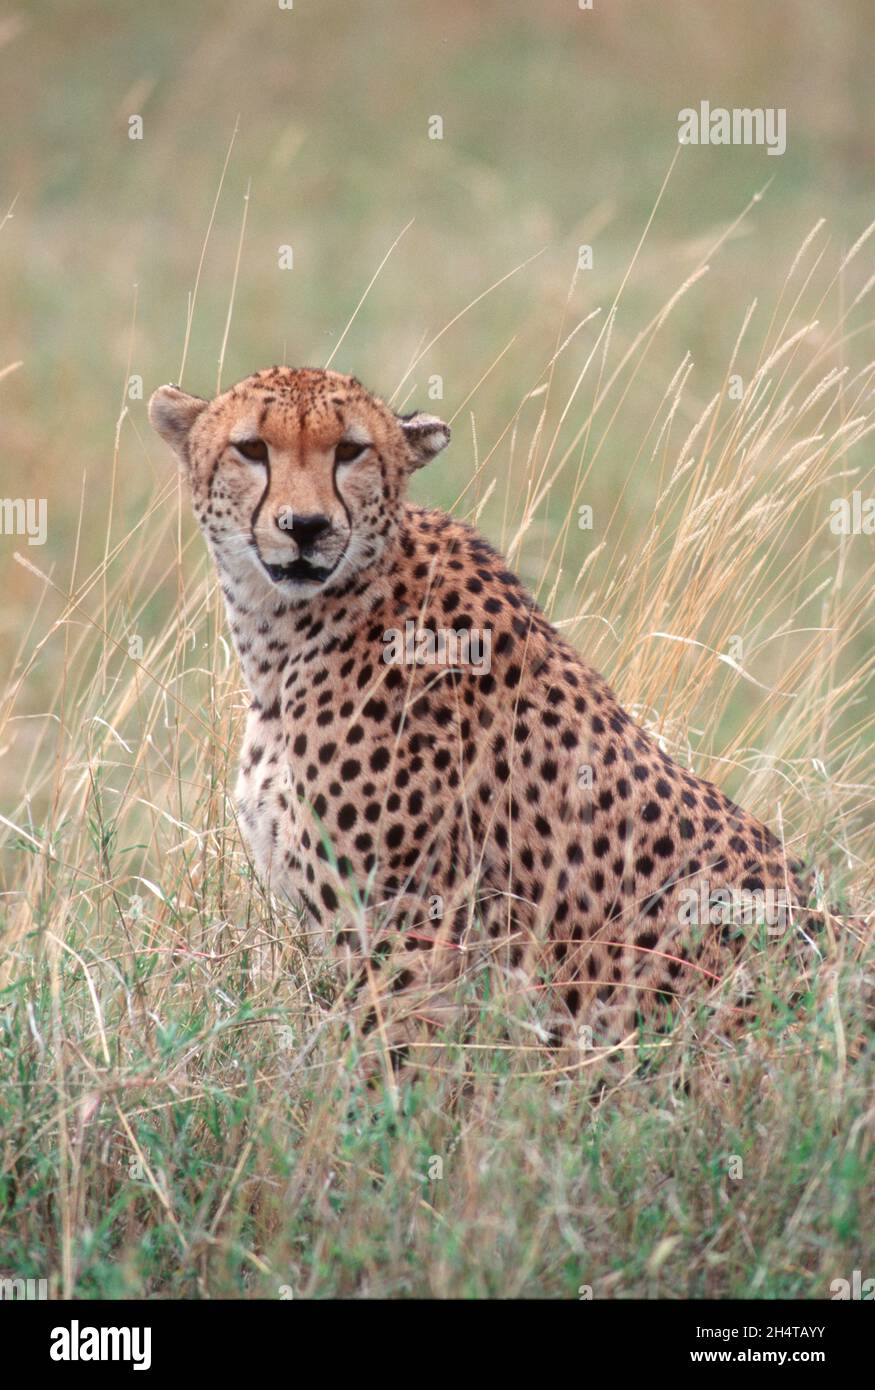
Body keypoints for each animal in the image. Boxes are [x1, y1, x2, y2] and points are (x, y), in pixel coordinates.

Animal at [151, 372, 851, 1084]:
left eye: (350, 450)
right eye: (251, 449)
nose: (306, 527)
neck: (287, 633)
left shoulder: (411, 936)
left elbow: (389, 1080)